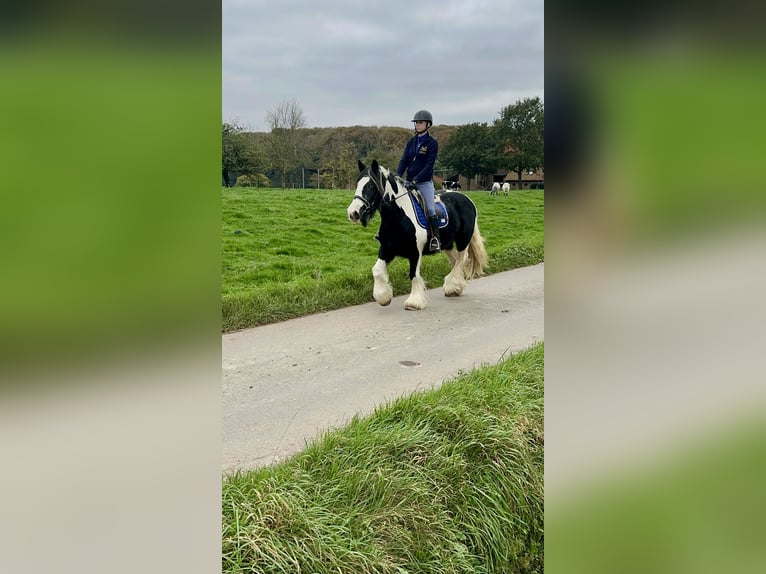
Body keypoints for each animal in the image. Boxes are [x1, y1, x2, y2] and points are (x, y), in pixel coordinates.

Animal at [346, 160, 486, 310]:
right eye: (357, 184)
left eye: (371, 185)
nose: (353, 213)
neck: (398, 218)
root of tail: (466, 199)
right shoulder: (387, 249)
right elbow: (377, 270)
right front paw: (383, 297)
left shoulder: (415, 252)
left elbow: (413, 274)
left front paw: (414, 302)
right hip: (447, 244)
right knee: (455, 261)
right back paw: (456, 287)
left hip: (463, 240)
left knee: (462, 259)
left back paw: (452, 286)